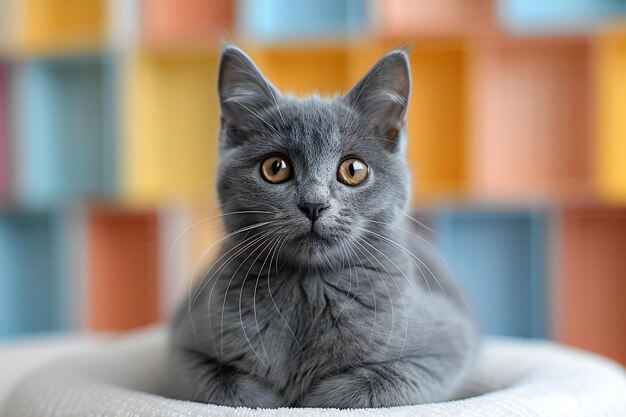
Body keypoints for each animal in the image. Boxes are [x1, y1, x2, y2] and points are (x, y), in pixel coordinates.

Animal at [171, 45, 478, 406]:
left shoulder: (449, 346)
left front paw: (311, 399)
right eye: (275, 167)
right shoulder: (184, 346)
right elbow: (226, 388)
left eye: (353, 170)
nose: (314, 204)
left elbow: (372, 386)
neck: (308, 288)